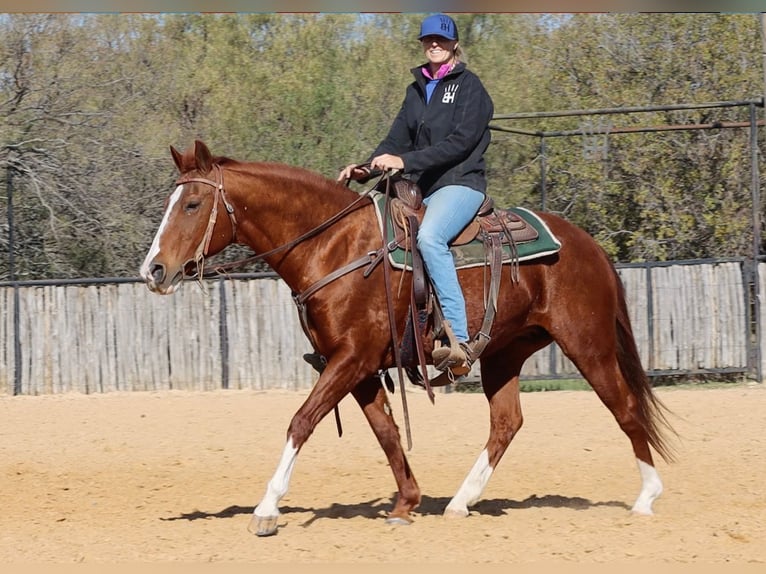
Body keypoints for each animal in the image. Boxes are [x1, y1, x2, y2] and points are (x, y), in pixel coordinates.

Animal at [140, 139, 676, 537]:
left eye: (192, 203)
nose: (154, 270)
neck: (335, 247)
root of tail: (589, 246)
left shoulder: (351, 359)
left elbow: (301, 421)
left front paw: (267, 509)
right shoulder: (356, 367)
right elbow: (386, 431)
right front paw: (407, 502)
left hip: (587, 344)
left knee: (625, 407)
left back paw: (647, 497)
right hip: (505, 352)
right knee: (506, 423)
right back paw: (460, 502)